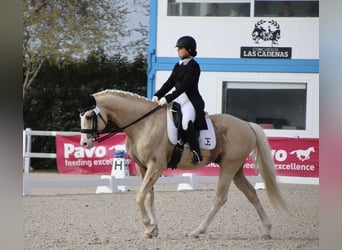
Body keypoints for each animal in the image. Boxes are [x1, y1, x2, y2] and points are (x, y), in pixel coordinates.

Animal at [79, 89, 288, 238]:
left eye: (89, 116)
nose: (84, 144)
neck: (143, 124)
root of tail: (247, 125)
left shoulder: (156, 167)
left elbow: (139, 196)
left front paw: (148, 225)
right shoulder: (143, 167)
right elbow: (149, 197)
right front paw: (153, 229)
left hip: (229, 167)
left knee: (220, 198)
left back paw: (197, 231)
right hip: (236, 170)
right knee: (251, 194)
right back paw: (266, 230)